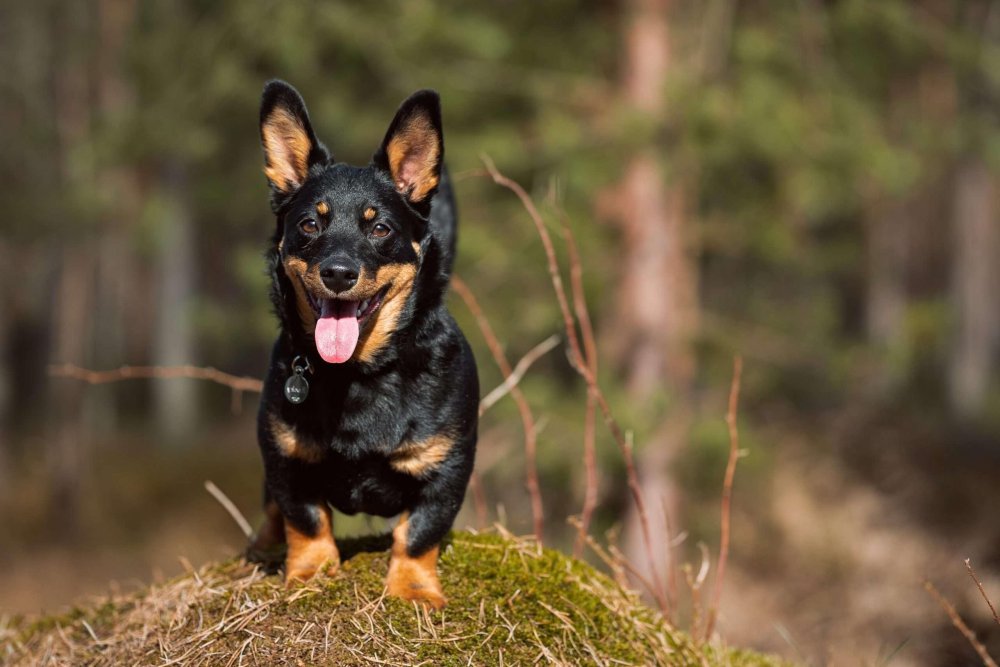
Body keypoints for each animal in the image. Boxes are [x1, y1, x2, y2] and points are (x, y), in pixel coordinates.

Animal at [252, 79, 482, 612]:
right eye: (310, 224)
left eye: (380, 228)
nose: (338, 273)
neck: (356, 374)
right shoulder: (285, 456)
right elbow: (305, 518)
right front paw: (312, 573)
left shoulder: (447, 469)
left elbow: (417, 533)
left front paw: (413, 589)